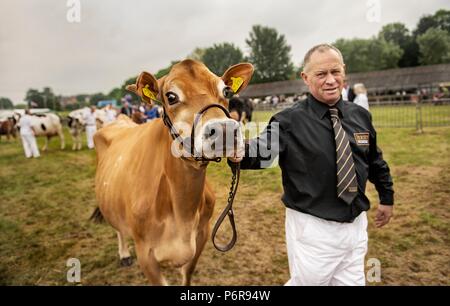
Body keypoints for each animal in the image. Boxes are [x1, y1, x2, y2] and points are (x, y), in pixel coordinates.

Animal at [91, 59, 253, 284]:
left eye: (226, 91)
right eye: (171, 96)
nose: (225, 131)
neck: (182, 214)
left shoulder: (202, 236)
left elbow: (187, 275)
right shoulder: (145, 254)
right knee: (118, 227)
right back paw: (123, 254)